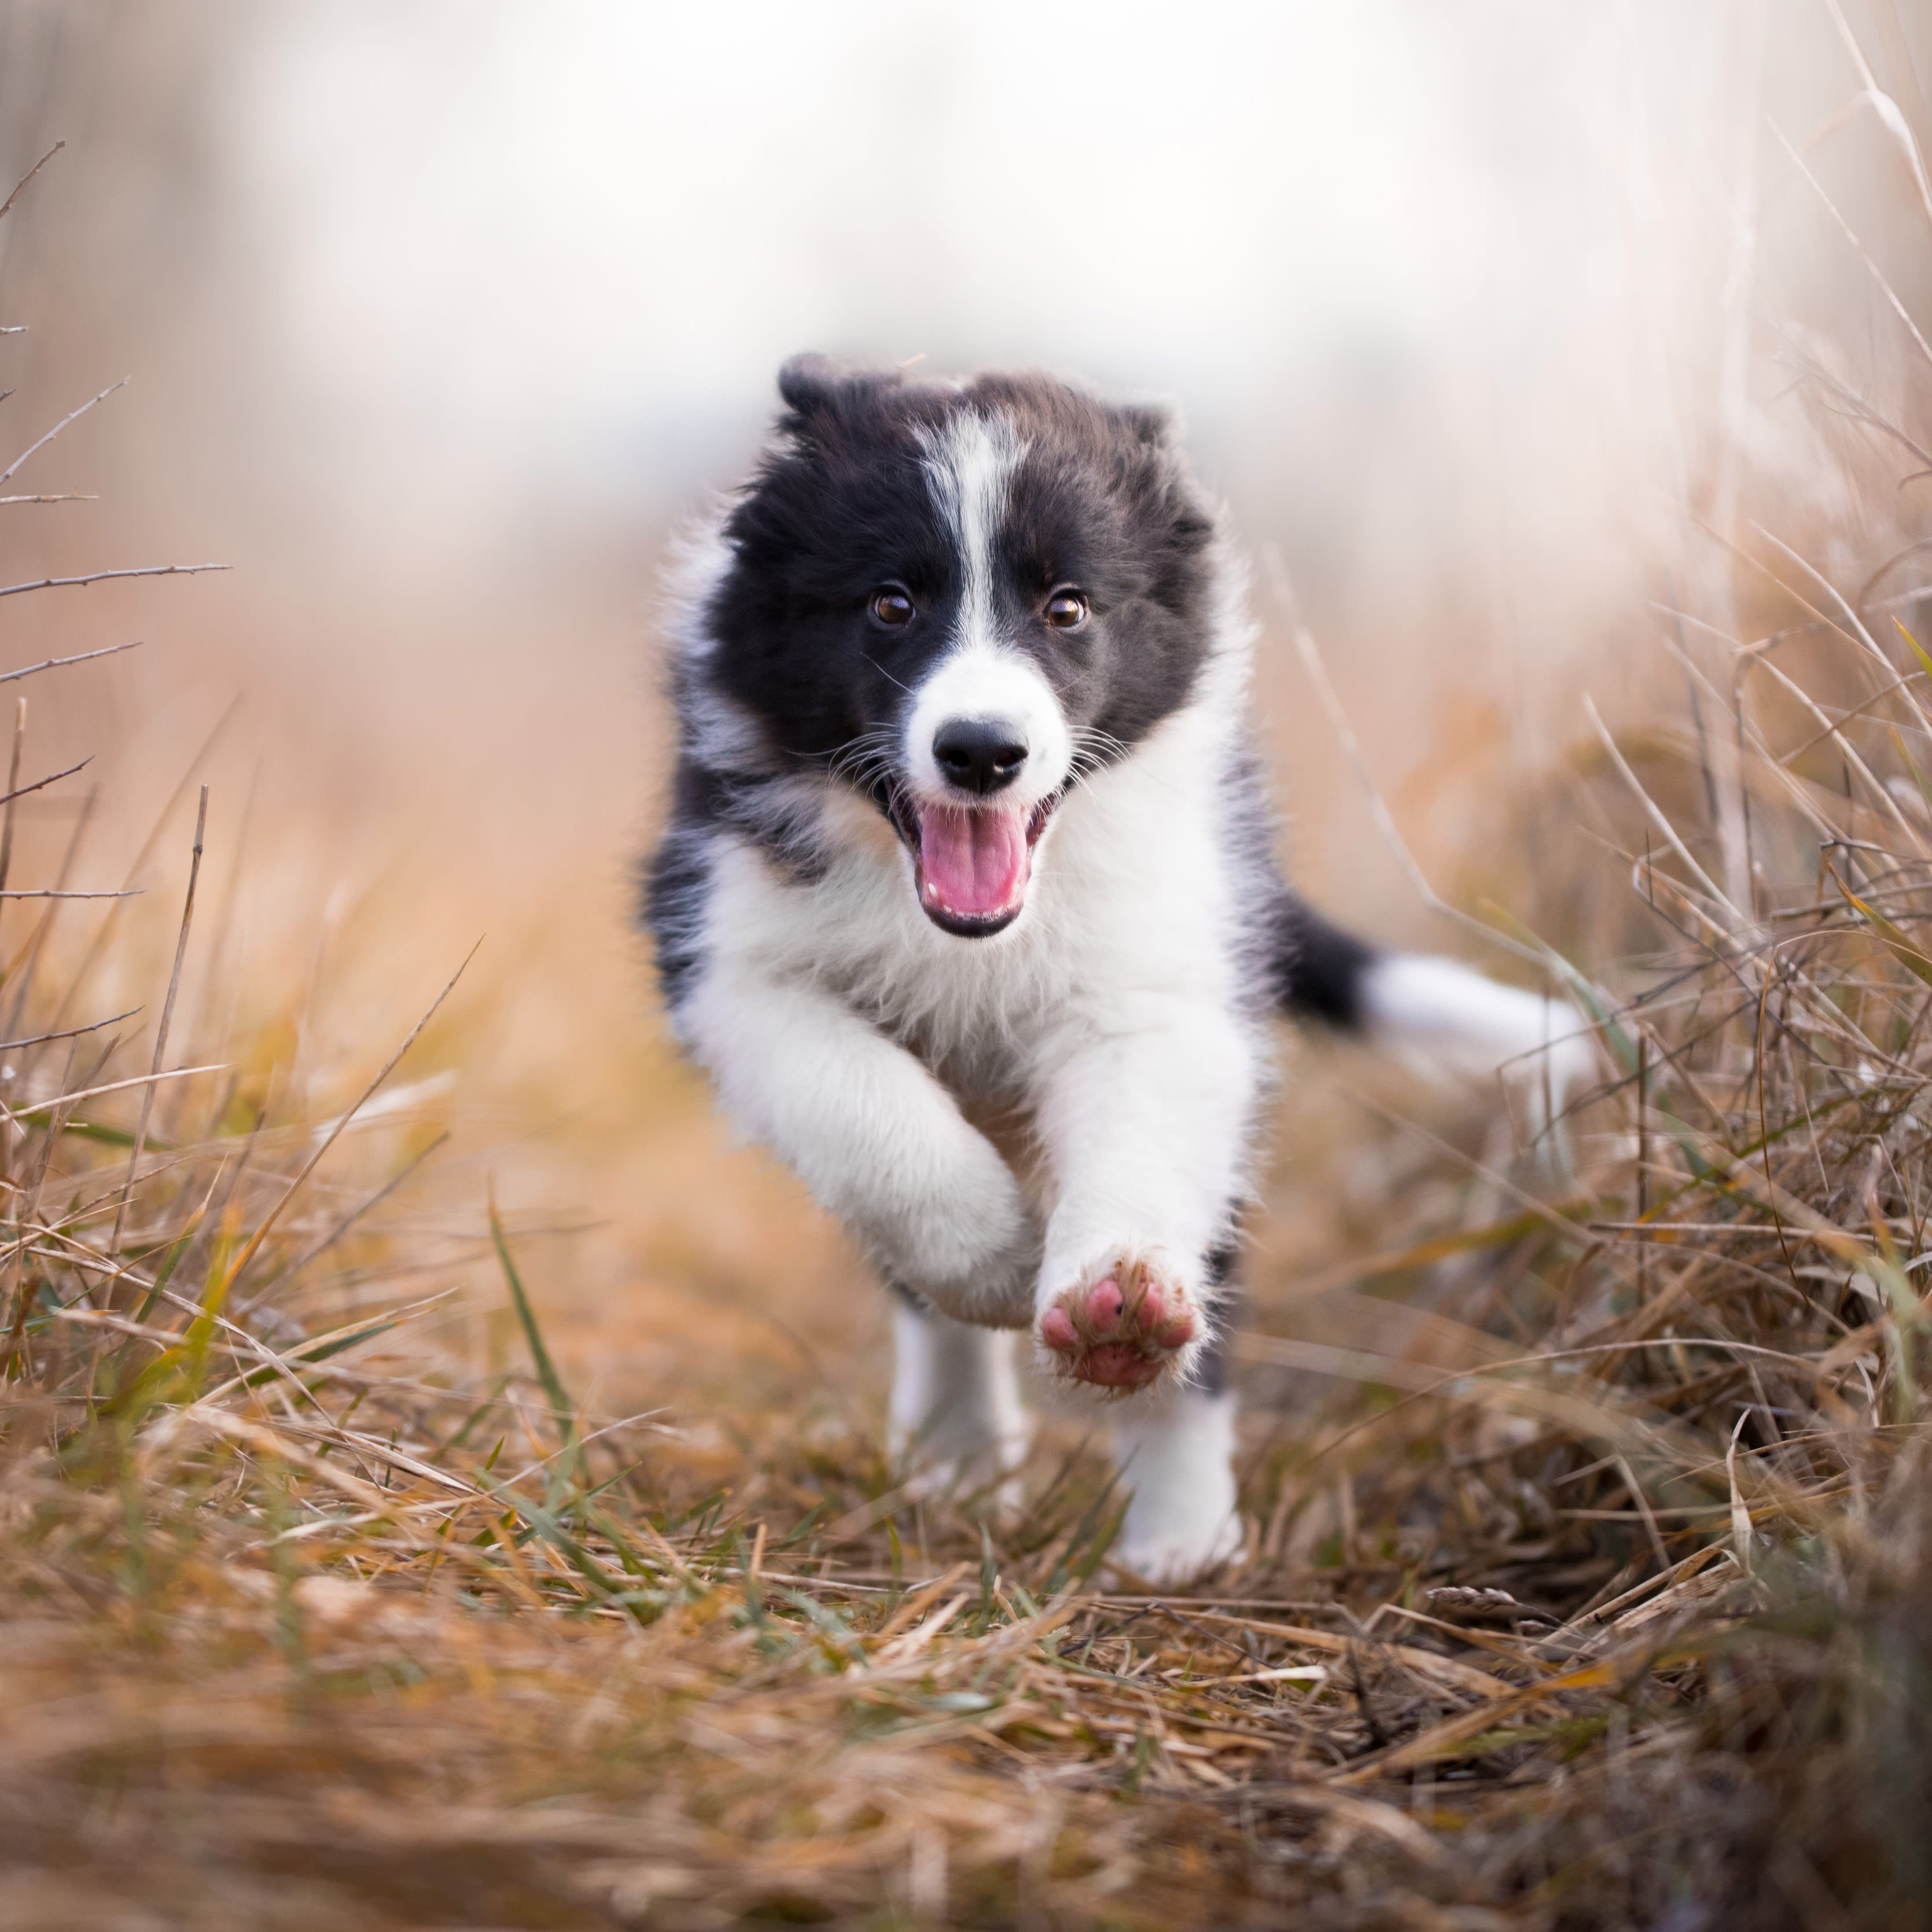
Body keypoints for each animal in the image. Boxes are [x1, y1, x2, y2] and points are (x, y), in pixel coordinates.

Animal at [641, 355, 1592, 1576]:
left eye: (1067, 607)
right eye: (890, 604)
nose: (981, 751)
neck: (972, 931)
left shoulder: (1160, 983)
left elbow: (1140, 1140)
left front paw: (1112, 1301)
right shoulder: (726, 951)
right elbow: (870, 1117)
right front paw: (997, 1259)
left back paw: (1178, 1541)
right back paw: (958, 1454)